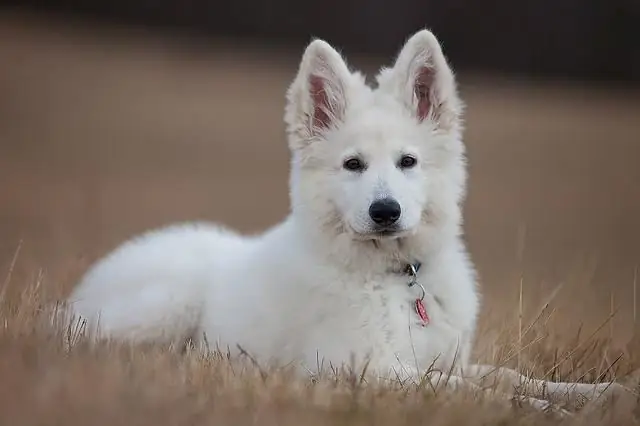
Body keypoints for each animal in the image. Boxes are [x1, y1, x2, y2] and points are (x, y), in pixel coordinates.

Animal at [62, 30, 632, 412]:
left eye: (408, 161)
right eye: (353, 164)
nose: (386, 211)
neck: (397, 280)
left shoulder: (445, 358)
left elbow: (509, 375)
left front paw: (599, 394)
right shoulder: (357, 367)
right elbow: (470, 391)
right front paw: (542, 412)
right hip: (166, 304)